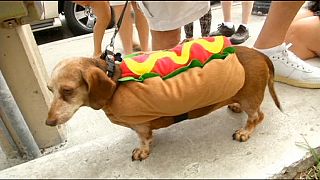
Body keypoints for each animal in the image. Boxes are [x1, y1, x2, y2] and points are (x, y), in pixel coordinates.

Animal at [46, 45, 282, 161]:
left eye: (67, 90)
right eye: (49, 89)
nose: (48, 122)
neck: (114, 78)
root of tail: (259, 54)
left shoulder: (140, 125)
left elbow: (143, 139)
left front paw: (142, 151)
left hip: (251, 99)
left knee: (257, 116)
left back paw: (245, 131)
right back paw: (235, 105)